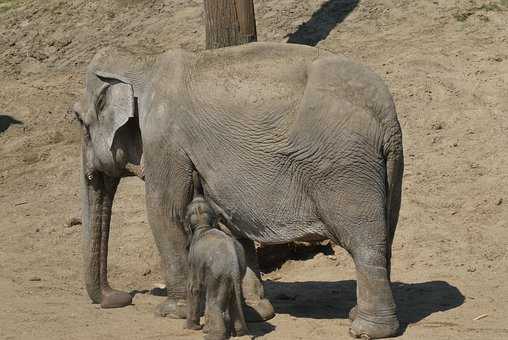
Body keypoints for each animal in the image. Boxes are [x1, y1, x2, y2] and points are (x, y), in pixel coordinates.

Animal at [185, 173, 248, 340]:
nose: (195, 175)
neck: (203, 225)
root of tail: (233, 265)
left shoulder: (193, 259)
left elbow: (194, 287)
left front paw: (192, 328)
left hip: (218, 275)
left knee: (213, 301)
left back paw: (212, 335)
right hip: (235, 275)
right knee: (233, 300)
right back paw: (239, 333)